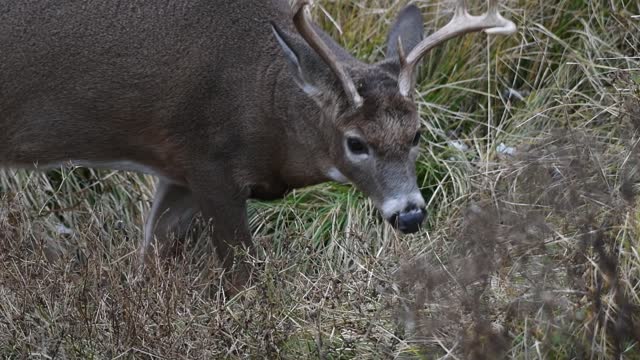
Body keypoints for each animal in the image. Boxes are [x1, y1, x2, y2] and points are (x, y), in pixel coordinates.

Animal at [0, 0, 512, 286]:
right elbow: (242, 279)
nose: (410, 215)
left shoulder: (178, 172)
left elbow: (150, 258)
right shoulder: (209, 161)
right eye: (355, 143)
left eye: (417, 133)